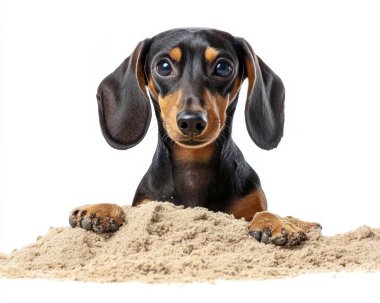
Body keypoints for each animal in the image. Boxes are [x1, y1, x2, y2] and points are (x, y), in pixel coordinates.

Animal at [69, 27, 320, 247]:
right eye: (163, 66)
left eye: (223, 67)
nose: (191, 121)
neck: (193, 166)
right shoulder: (149, 203)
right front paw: (101, 209)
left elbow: (263, 212)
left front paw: (274, 223)